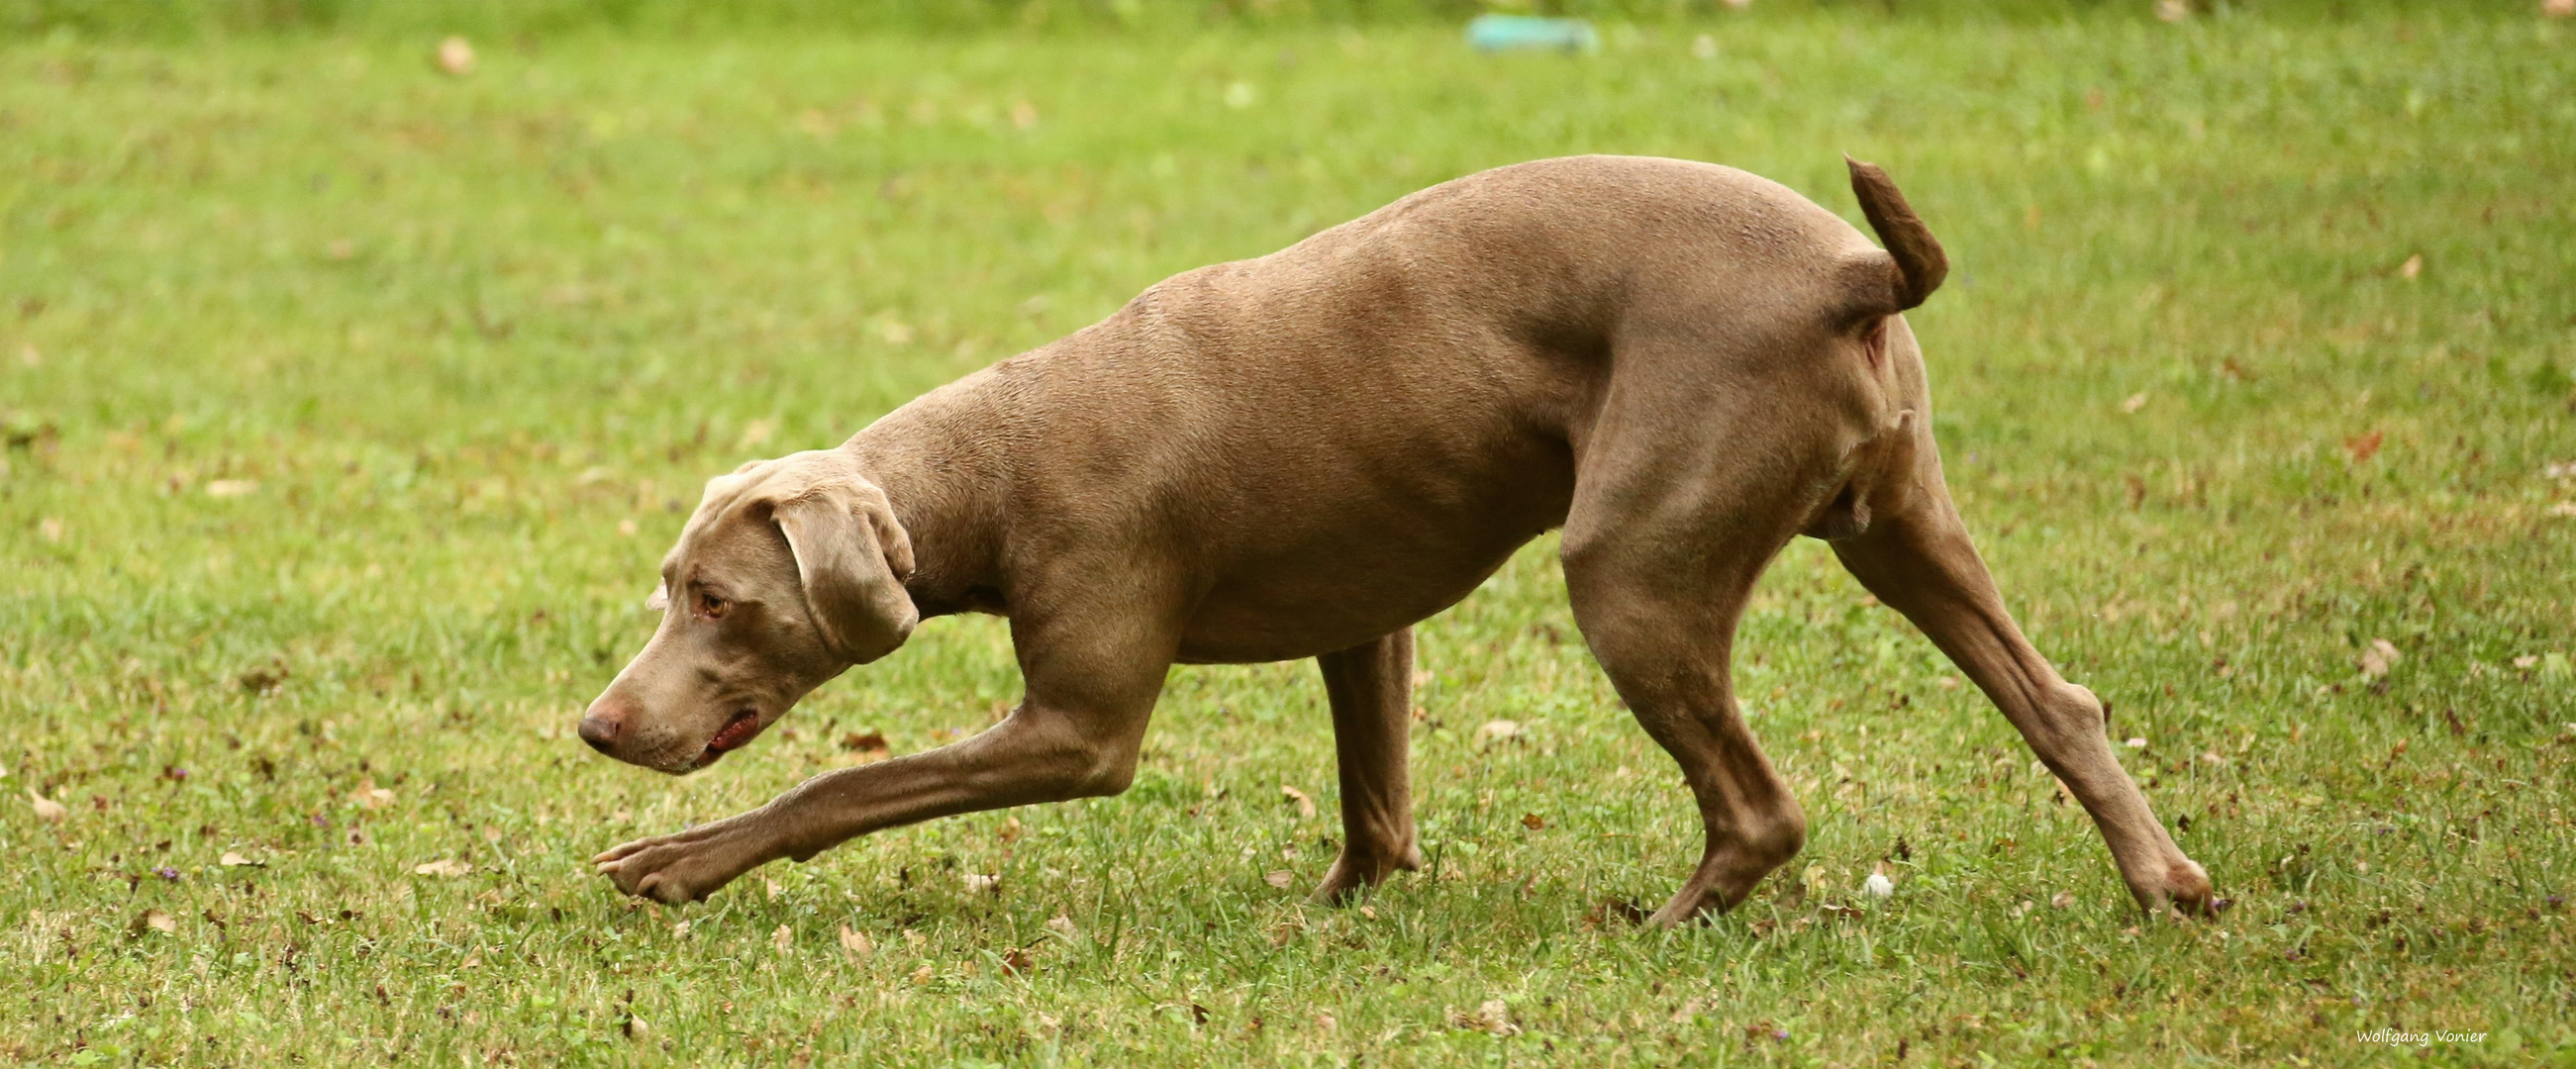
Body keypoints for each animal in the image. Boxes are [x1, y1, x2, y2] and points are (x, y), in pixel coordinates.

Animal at [579, 152, 2215, 926]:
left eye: (718, 601)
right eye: (670, 587)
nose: (596, 729)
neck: (994, 460)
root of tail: (1851, 272)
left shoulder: (1076, 728)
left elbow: (836, 792)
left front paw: (668, 866)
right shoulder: (1362, 623)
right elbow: (1374, 800)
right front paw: (1340, 913)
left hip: (1632, 573)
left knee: (1761, 807)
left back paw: (1659, 925)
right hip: (1899, 526)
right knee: (2059, 703)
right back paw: (2167, 887)